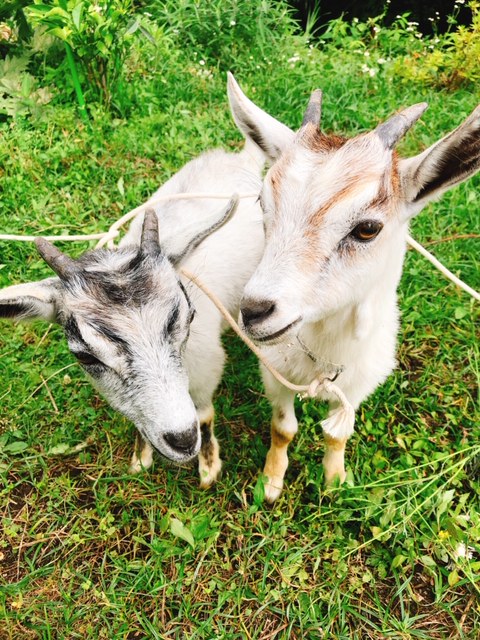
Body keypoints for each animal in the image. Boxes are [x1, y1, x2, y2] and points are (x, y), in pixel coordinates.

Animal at [0, 142, 264, 488]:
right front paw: (141, 457)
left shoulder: (208, 367)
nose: (182, 439)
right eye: (85, 356)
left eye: (187, 316)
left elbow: (205, 413)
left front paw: (208, 466)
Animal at [228, 74, 480, 504]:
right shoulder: (274, 372)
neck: (323, 360)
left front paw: (334, 483)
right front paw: (271, 483)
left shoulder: (361, 384)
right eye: (263, 202)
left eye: (367, 228)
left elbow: (338, 435)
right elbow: (283, 428)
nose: (255, 310)